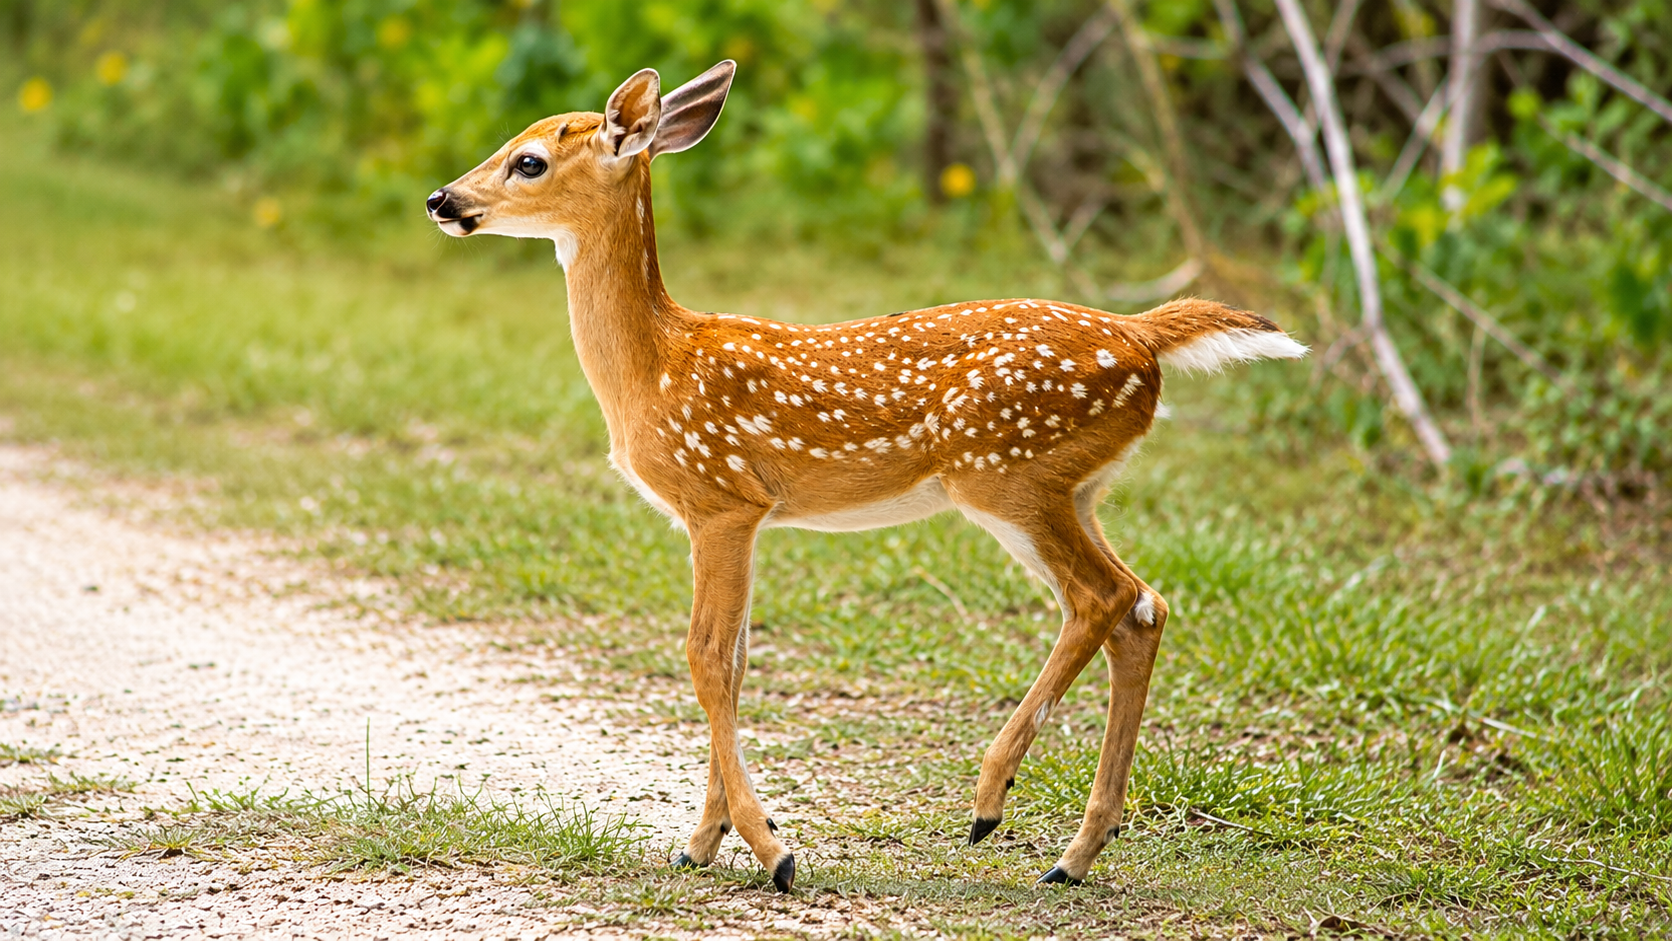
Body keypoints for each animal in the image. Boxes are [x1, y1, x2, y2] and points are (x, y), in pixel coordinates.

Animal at [426, 60, 1306, 892]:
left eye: (530, 160)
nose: (441, 198)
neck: (654, 367)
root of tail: (1142, 336)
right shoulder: (745, 516)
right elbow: (735, 664)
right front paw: (702, 843)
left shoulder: (719, 498)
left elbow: (706, 657)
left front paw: (770, 850)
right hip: (1076, 487)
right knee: (1144, 606)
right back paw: (1074, 855)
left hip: (1005, 476)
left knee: (1105, 597)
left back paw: (991, 800)